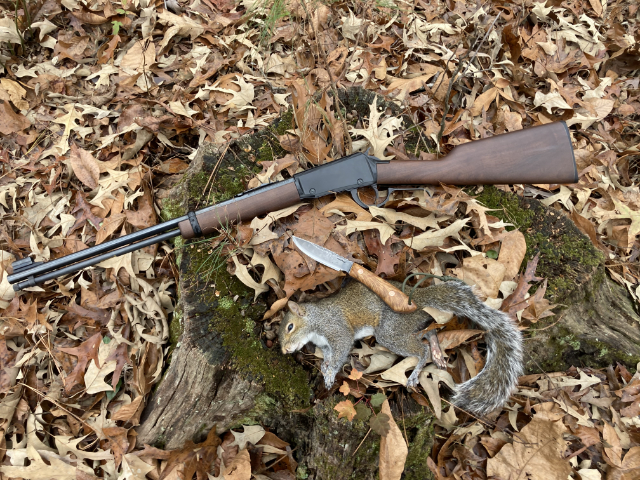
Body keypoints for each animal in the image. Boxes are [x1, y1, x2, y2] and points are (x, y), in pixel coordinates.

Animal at [279, 278, 523, 416]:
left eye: (290, 327)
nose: (284, 351)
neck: (314, 319)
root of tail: (417, 300)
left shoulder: (337, 329)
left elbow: (341, 349)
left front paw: (329, 373)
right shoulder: (326, 343)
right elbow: (330, 355)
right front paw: (325, 368)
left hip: (390, 332)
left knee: (421, 349)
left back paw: (416, 372)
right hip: (410, 326)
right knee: (430, 333)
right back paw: (437, 351)